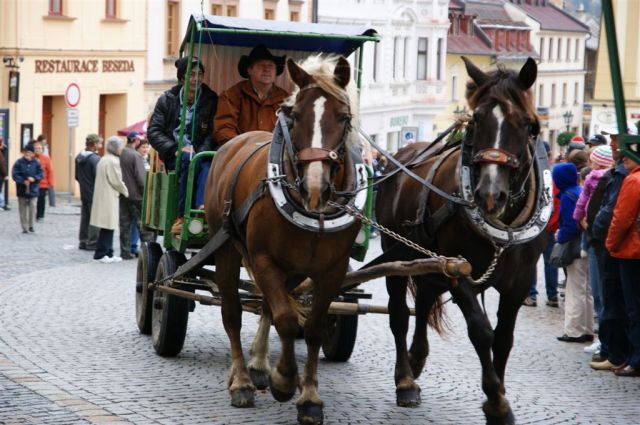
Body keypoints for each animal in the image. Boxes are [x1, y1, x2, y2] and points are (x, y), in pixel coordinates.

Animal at [206, 54, 364, 422]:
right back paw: (242, 381)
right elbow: (288, 321)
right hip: (227, 249)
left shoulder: (332, 271)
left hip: (292, 270)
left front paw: (309, 397)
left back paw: (259, 364)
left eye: (344, 117)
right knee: (233, 312)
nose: (315, 188)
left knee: (266, 305)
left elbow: (314, 327)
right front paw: (283, 381)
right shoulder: (264, 260)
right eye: (293, 115)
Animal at [376, 57, 552, 424]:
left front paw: (500, 395)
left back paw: (417, 358)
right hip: (393, 254)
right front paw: (496, 401)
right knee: (399, 314)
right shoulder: (460, 274)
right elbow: (481, 331)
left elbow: (503, 338)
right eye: (476, 120)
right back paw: (405, 380)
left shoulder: (520, 282)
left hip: (429, 262)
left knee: (423, 300)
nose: (489, 195)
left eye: (529, 125)